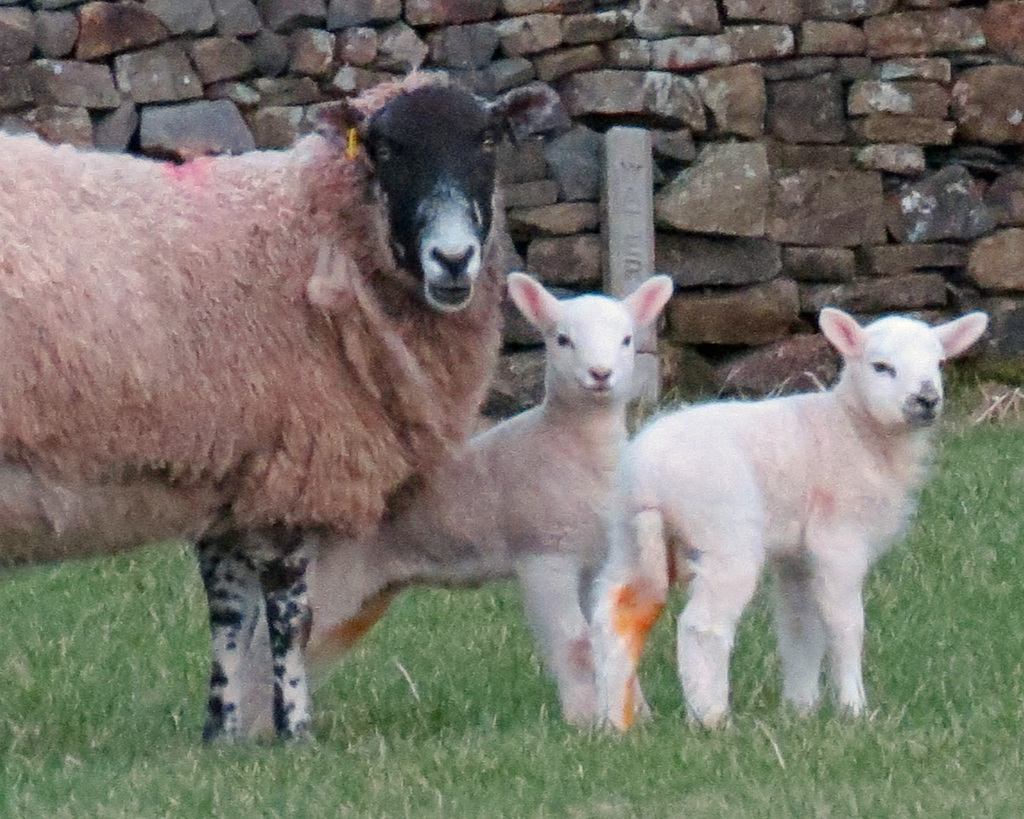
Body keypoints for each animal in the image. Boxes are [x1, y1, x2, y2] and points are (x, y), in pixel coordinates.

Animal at [0, 73, 561, 745]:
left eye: (487, 141)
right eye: (386, 148)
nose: (453, 260)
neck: (312, 229)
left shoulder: (228, 472)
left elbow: (228, 613)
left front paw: (219, 735)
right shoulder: (295, 460)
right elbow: (290, 616)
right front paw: (296, 731)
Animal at [593, 307, 991, 728]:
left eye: (940, 363)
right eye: (881, 367)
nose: (926, 399)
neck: (856, 430)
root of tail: (648, 479)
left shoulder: (796, 556)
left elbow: (801, 628)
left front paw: (801, 708)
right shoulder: (839, 540)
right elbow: (846, 624)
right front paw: (853, 709)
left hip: (624, 533)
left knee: (613, 617)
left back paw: (616, 720)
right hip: (724, 532)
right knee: (702, 626)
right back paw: (711, 718)